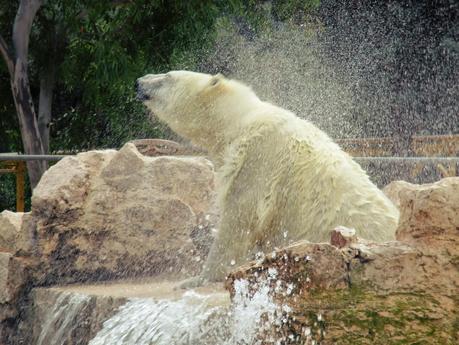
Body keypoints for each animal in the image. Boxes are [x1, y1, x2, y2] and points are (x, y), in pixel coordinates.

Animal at [136, 70, 398, 282]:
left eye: (167, 76)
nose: (139, 81)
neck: (241, 121)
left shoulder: (259, 159)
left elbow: (240, 219)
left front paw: (196, 278)